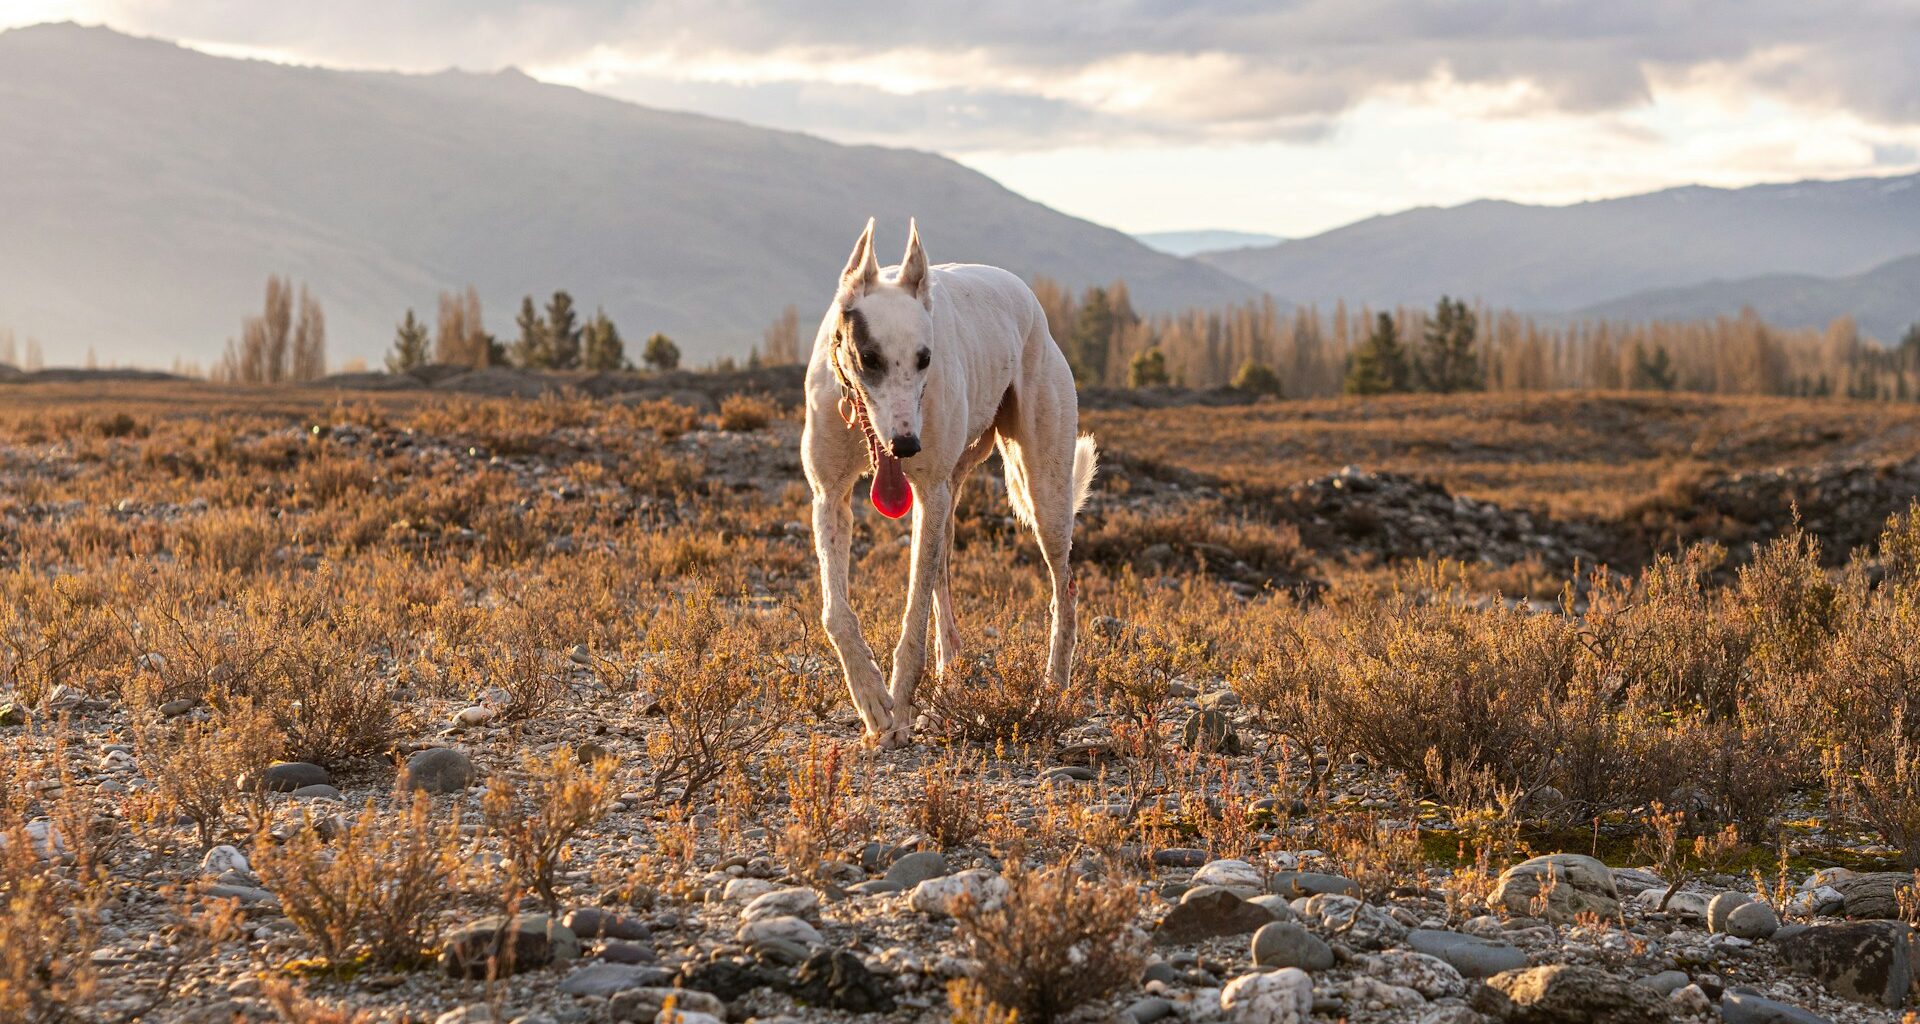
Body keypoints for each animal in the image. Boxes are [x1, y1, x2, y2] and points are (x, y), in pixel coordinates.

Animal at [798, 219, 1098, 745]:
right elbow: (836, 614)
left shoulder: (927, 489)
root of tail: (1029, 300)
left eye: (925, 358)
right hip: (947, 495)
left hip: (1042, 489)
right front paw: (871, 696)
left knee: (1065, 589)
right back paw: (946, 687)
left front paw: (896, 707)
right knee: (941, 576)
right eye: (869, 357)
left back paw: (1052, 690)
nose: (906, 446)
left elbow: (913, 623)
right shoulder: (828, 497)